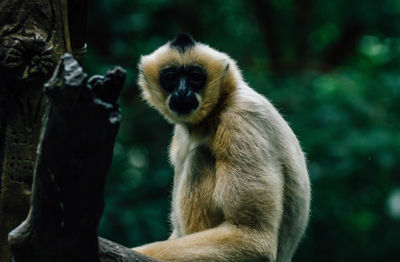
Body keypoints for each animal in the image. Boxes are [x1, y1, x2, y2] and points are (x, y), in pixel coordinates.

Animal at [133, 33, 310, 262]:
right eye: (171, 78)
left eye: (195, 77)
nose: (182, 91)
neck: (218, 107)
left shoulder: (240, 120)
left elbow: (252, 237)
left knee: (200, 157)